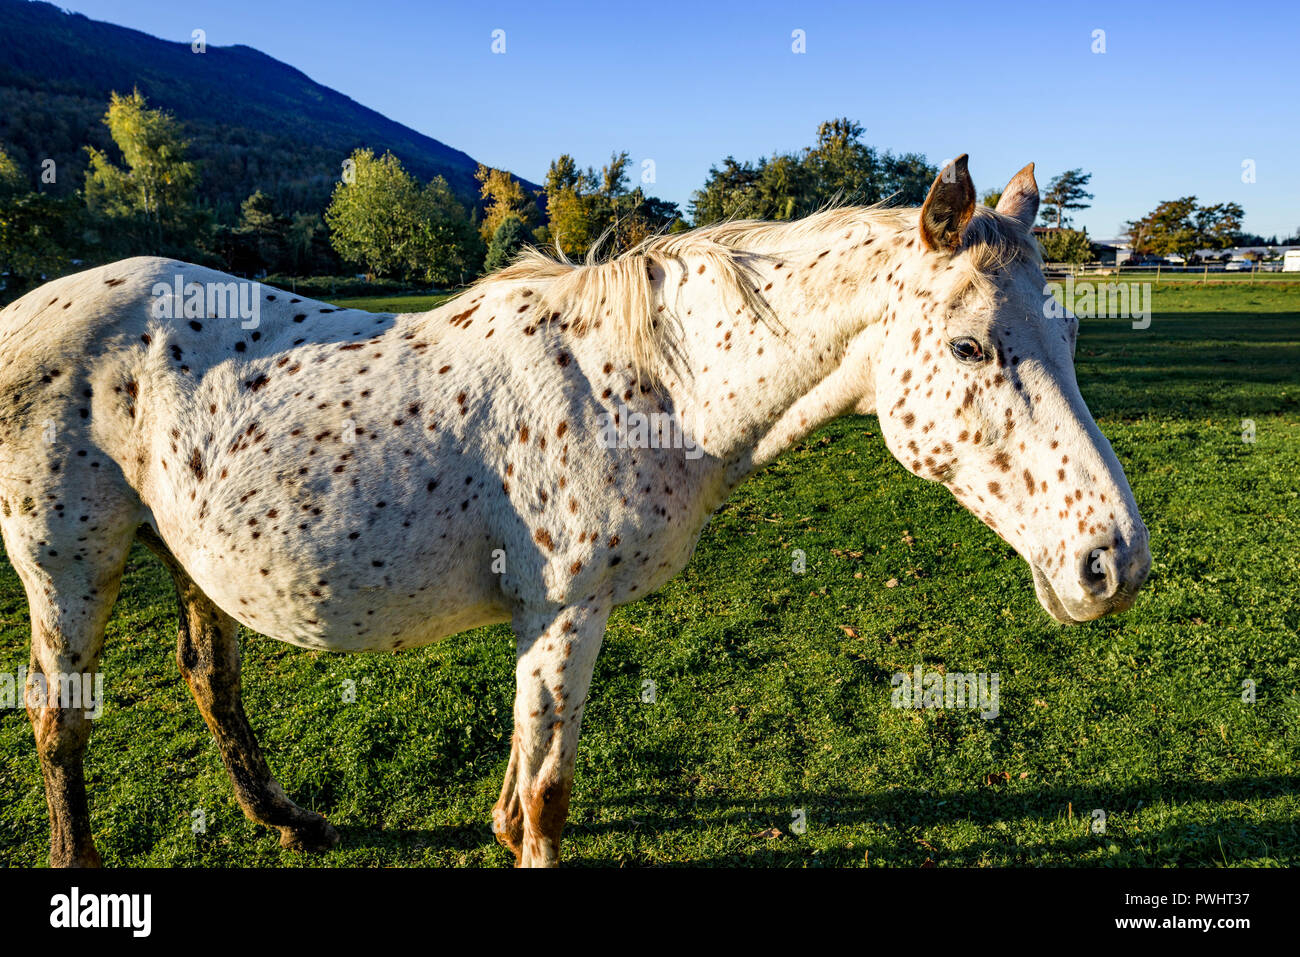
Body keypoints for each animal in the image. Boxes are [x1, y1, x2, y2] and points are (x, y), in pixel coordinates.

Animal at [0, 157, 1149, 868]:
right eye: (968, 346)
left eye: (1070, 340)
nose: (1113, 562)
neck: (642, 385)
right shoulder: (564, 611)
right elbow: (548, 789)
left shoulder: (544, 622)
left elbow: (526, 770)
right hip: (67, 567)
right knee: (61, 717)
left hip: (182, 554)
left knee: (210, 682)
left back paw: (286, 821)